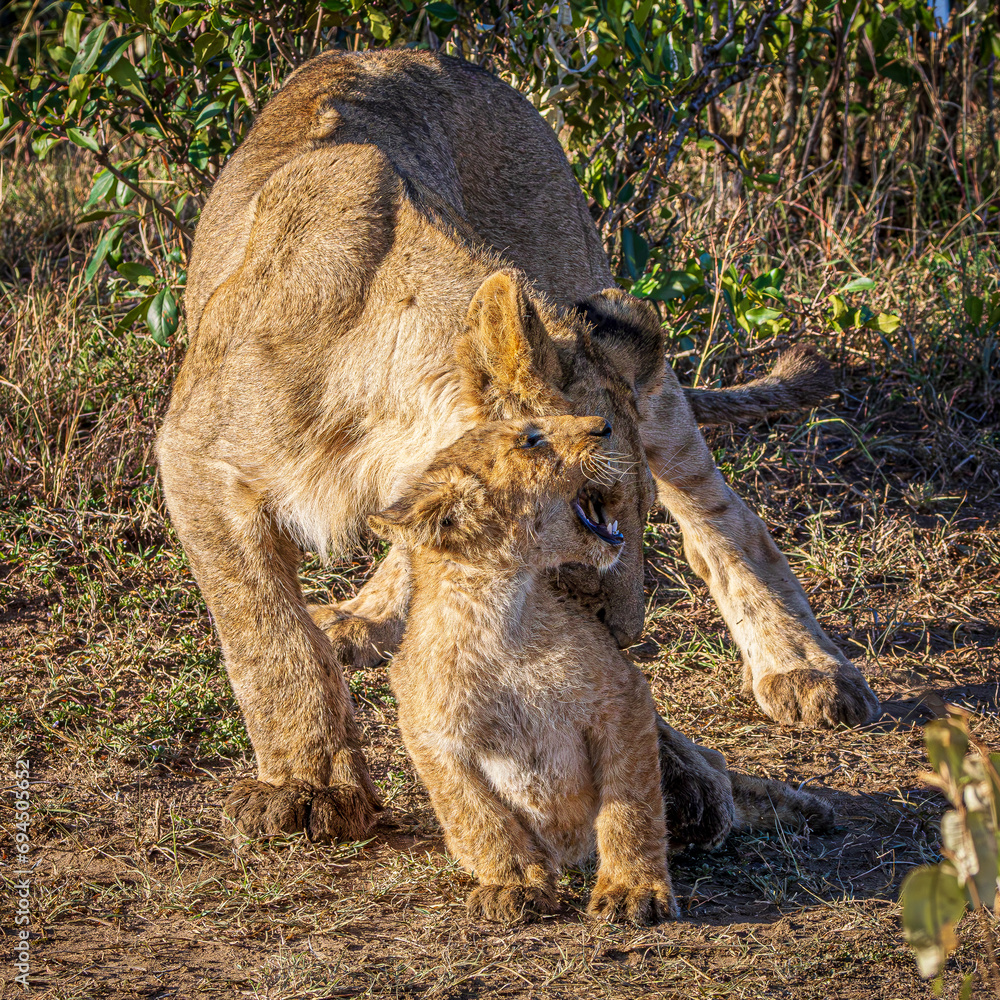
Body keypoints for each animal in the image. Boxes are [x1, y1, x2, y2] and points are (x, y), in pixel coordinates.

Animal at [157, 48, 878, 843]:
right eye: (597, 509)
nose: (627, 630)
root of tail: (423, 52)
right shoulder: (196, 463)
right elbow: (269, 636)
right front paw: (310, 786)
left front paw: (691, 779)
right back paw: (364, 621)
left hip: (603, 317)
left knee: (723, 513)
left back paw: (806, 667)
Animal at [369, 414, 833, 925]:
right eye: (531, 440)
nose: (604, 425)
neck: (498, 608)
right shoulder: (432, 736)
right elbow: (479, 818)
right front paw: (513, 883)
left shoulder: (622, 697)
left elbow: (630, 804)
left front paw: (633, 890)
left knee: (712, 776)